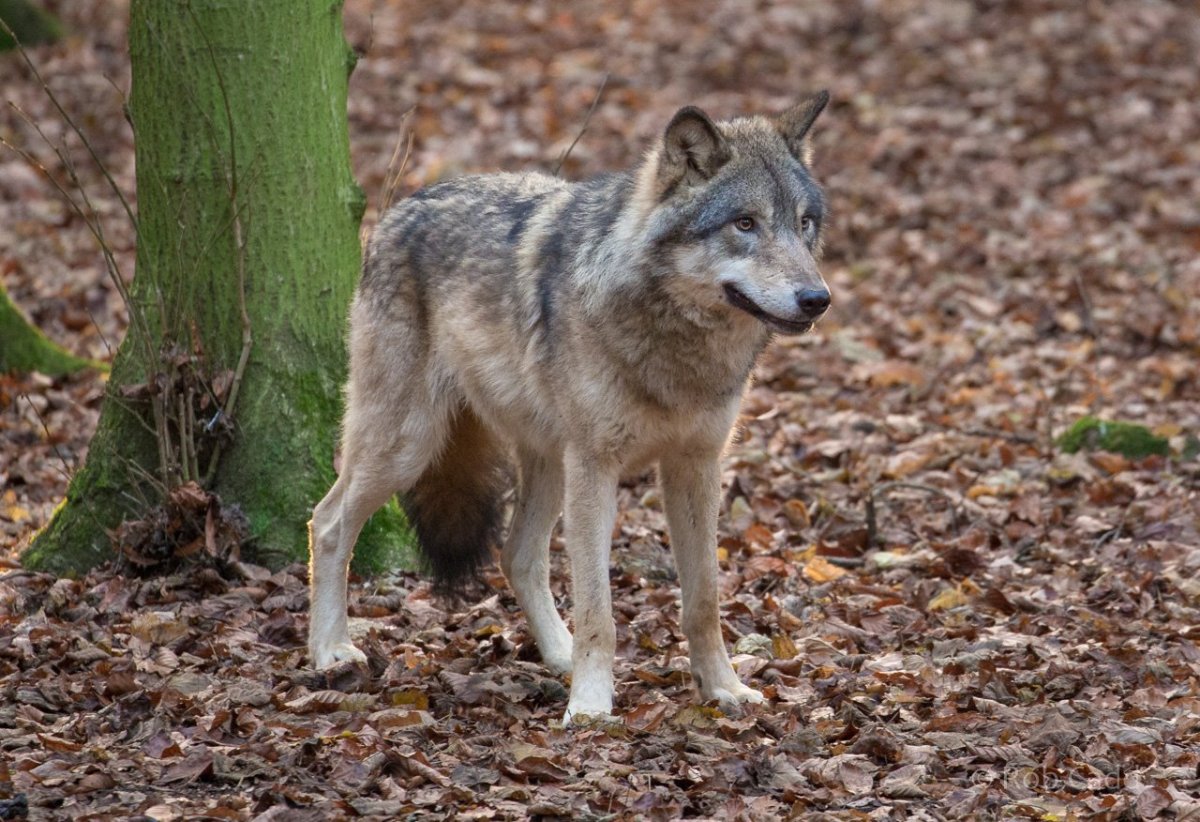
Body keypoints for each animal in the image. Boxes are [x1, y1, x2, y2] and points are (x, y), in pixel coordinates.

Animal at [308, 91, 832, 724]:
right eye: (746, 223)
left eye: (803, 223)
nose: (818, 298)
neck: (674, 346)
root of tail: (397, 209)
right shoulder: (596, 467)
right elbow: (598, 611)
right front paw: (590, 706)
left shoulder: (697, 467)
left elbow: (704, 600)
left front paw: (723, 689)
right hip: (411, 446)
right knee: (327, 522)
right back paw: (329, 651)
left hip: (547, 462)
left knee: (516, 555)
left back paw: (558, 653)